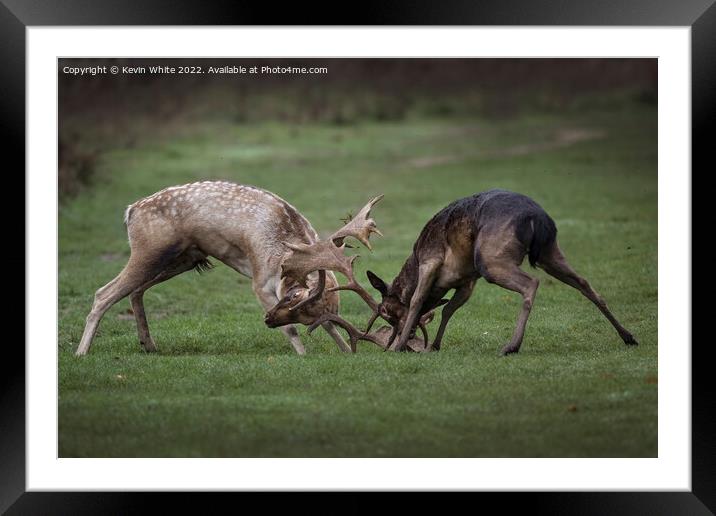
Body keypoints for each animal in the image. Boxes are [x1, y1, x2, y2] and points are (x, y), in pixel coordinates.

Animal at [364, 189, 636, 354]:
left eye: (385, 311)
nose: (402, 337)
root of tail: (538, 218)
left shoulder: (431, 260)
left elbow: (417, 300)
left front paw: (400, 346)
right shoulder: (467, 281)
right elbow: (448, 309)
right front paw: (435, 346)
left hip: (490, 257)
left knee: (531, 282)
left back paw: (512, 346)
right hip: (550, 252)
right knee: (585, 283)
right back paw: (628, 336)